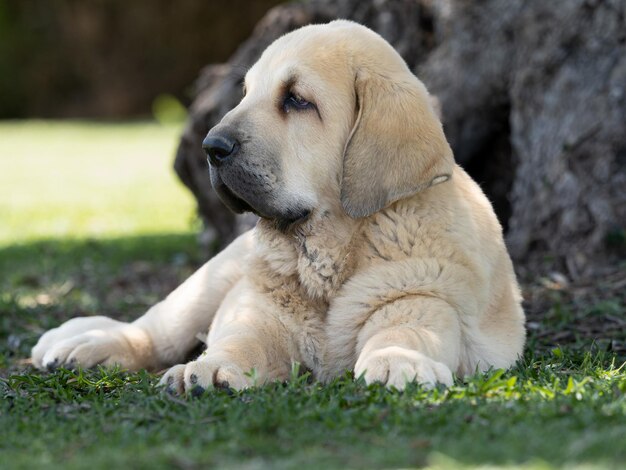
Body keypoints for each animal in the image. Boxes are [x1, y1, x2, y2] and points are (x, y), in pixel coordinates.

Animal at [31, 20, 524, 392]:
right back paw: (85, 347)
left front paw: (397, 361)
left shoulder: (422, 298)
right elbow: (239, 342)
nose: (211, 147)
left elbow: (405, 331)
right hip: (213, 279)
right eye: (246, 93)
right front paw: (208, 369)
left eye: (296, 100)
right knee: (154, 331)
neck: (330, 250)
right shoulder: (259, 312)